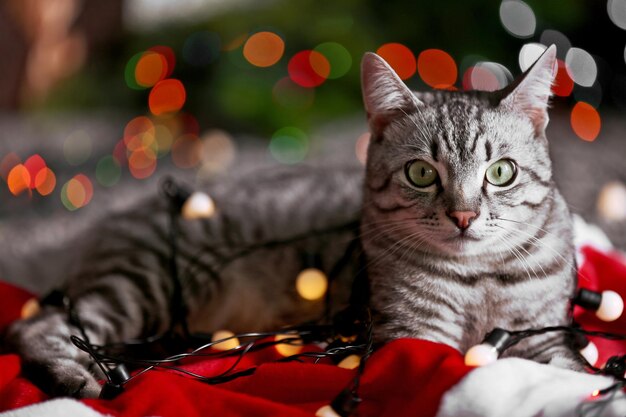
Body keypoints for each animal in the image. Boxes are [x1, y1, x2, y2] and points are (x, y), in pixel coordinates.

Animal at [1, 44, 580, 398]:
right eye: (421, 173)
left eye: (500, 172)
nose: (463, 215)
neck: (480, 281)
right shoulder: (412, 338)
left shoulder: (542, 335)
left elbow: (569, 371)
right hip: (145, 283)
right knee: (37, 325)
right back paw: (74, 377)